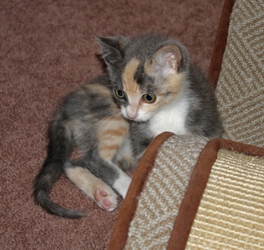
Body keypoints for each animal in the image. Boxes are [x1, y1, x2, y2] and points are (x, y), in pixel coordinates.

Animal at [33, 34, 223, 218]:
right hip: (113, 117)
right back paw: (126, 188)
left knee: (73, 162)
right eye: (120, 93)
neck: (166, 111)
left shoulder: (207, 120)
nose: (131, 115)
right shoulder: (140, 138)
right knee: (94, 157)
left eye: (149, 97)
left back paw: (101, 194)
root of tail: (67, 104)